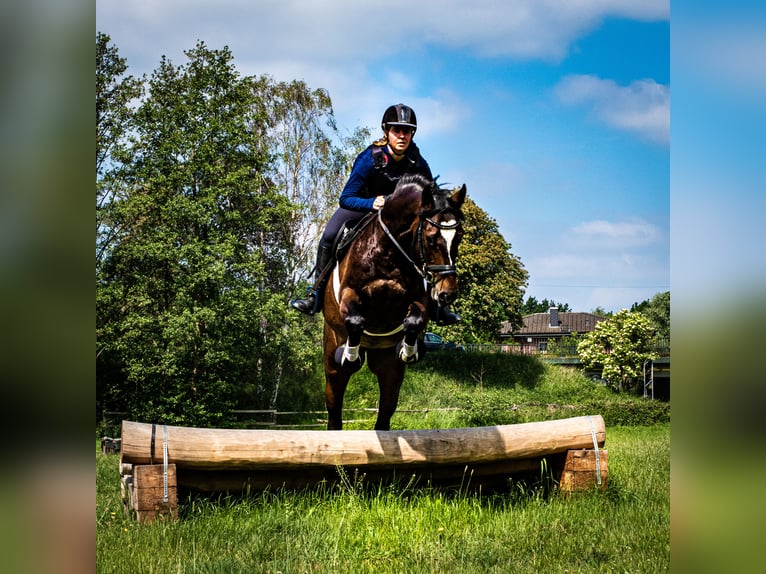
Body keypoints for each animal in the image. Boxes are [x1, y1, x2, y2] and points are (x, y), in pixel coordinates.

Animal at [320, 176, 464, 432]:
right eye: (430, 238)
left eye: (459, 237)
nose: (447, 294)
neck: (389, 251)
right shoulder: (349, 293)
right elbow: (355, 321)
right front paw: (350, 356)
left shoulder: (418, 299)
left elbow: (414, 321)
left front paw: (409, 350)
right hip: (332, 365)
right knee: (334, 411)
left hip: (388, 369)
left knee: (385, 413)